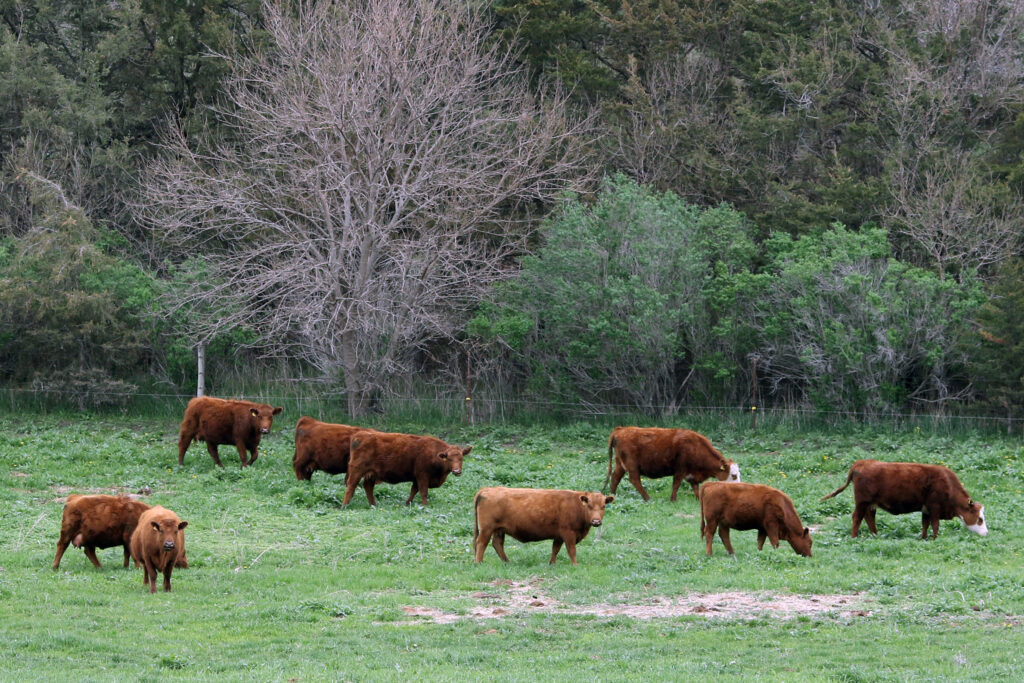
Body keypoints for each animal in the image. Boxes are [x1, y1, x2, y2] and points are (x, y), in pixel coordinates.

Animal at [342, 430, 471, 507]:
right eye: (448, 458)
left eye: (461, 458)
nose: (457, 471)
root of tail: (360, 435)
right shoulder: (422, 476)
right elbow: (423, 492)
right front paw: (425, 505)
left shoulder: (417, 478)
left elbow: (414, 490)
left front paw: (407, 503)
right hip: (357, 470)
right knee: (351, 486)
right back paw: (344, 505)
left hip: (372, 473)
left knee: (368, 487)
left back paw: (373, 505)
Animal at [473, 487, 614, 565]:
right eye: (589, 506)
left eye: (603, 506)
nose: (596, 521)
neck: (577, 505)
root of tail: (487, 489)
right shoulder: (568, 533)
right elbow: (571, 550)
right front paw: (575, 564)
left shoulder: (559, 536)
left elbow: (555, 549)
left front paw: (552, 563)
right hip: (487, 529)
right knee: (481, 543)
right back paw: (479, 562)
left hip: (499, 530)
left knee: (497, 544)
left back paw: (507, 562)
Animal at [604, 426, 740, 501]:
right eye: (733, 475)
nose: (739, 488)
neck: (695, 446)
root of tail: (620, 429)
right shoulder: (680, 469)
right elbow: (676, 484)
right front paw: (673, 500)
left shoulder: (692, 473)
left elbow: (695, 487)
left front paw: (698, 499)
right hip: (632, 465)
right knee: (634, 480)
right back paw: (647, 498)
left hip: (620, 464)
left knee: (615, 477)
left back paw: (613, 494)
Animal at [821, 459, 987, 539]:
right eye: (980, 519)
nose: (986, 533)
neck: (948, 485)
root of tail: (862, 462)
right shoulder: (934, 508)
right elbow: (935, 525)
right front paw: (934, 539)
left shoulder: (926, 509)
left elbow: (925, 525)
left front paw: (923, 538)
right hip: (862, 502)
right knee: (857, 517)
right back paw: (854, 537)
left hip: (870, 504)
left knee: (869, 518)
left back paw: (876, 535)